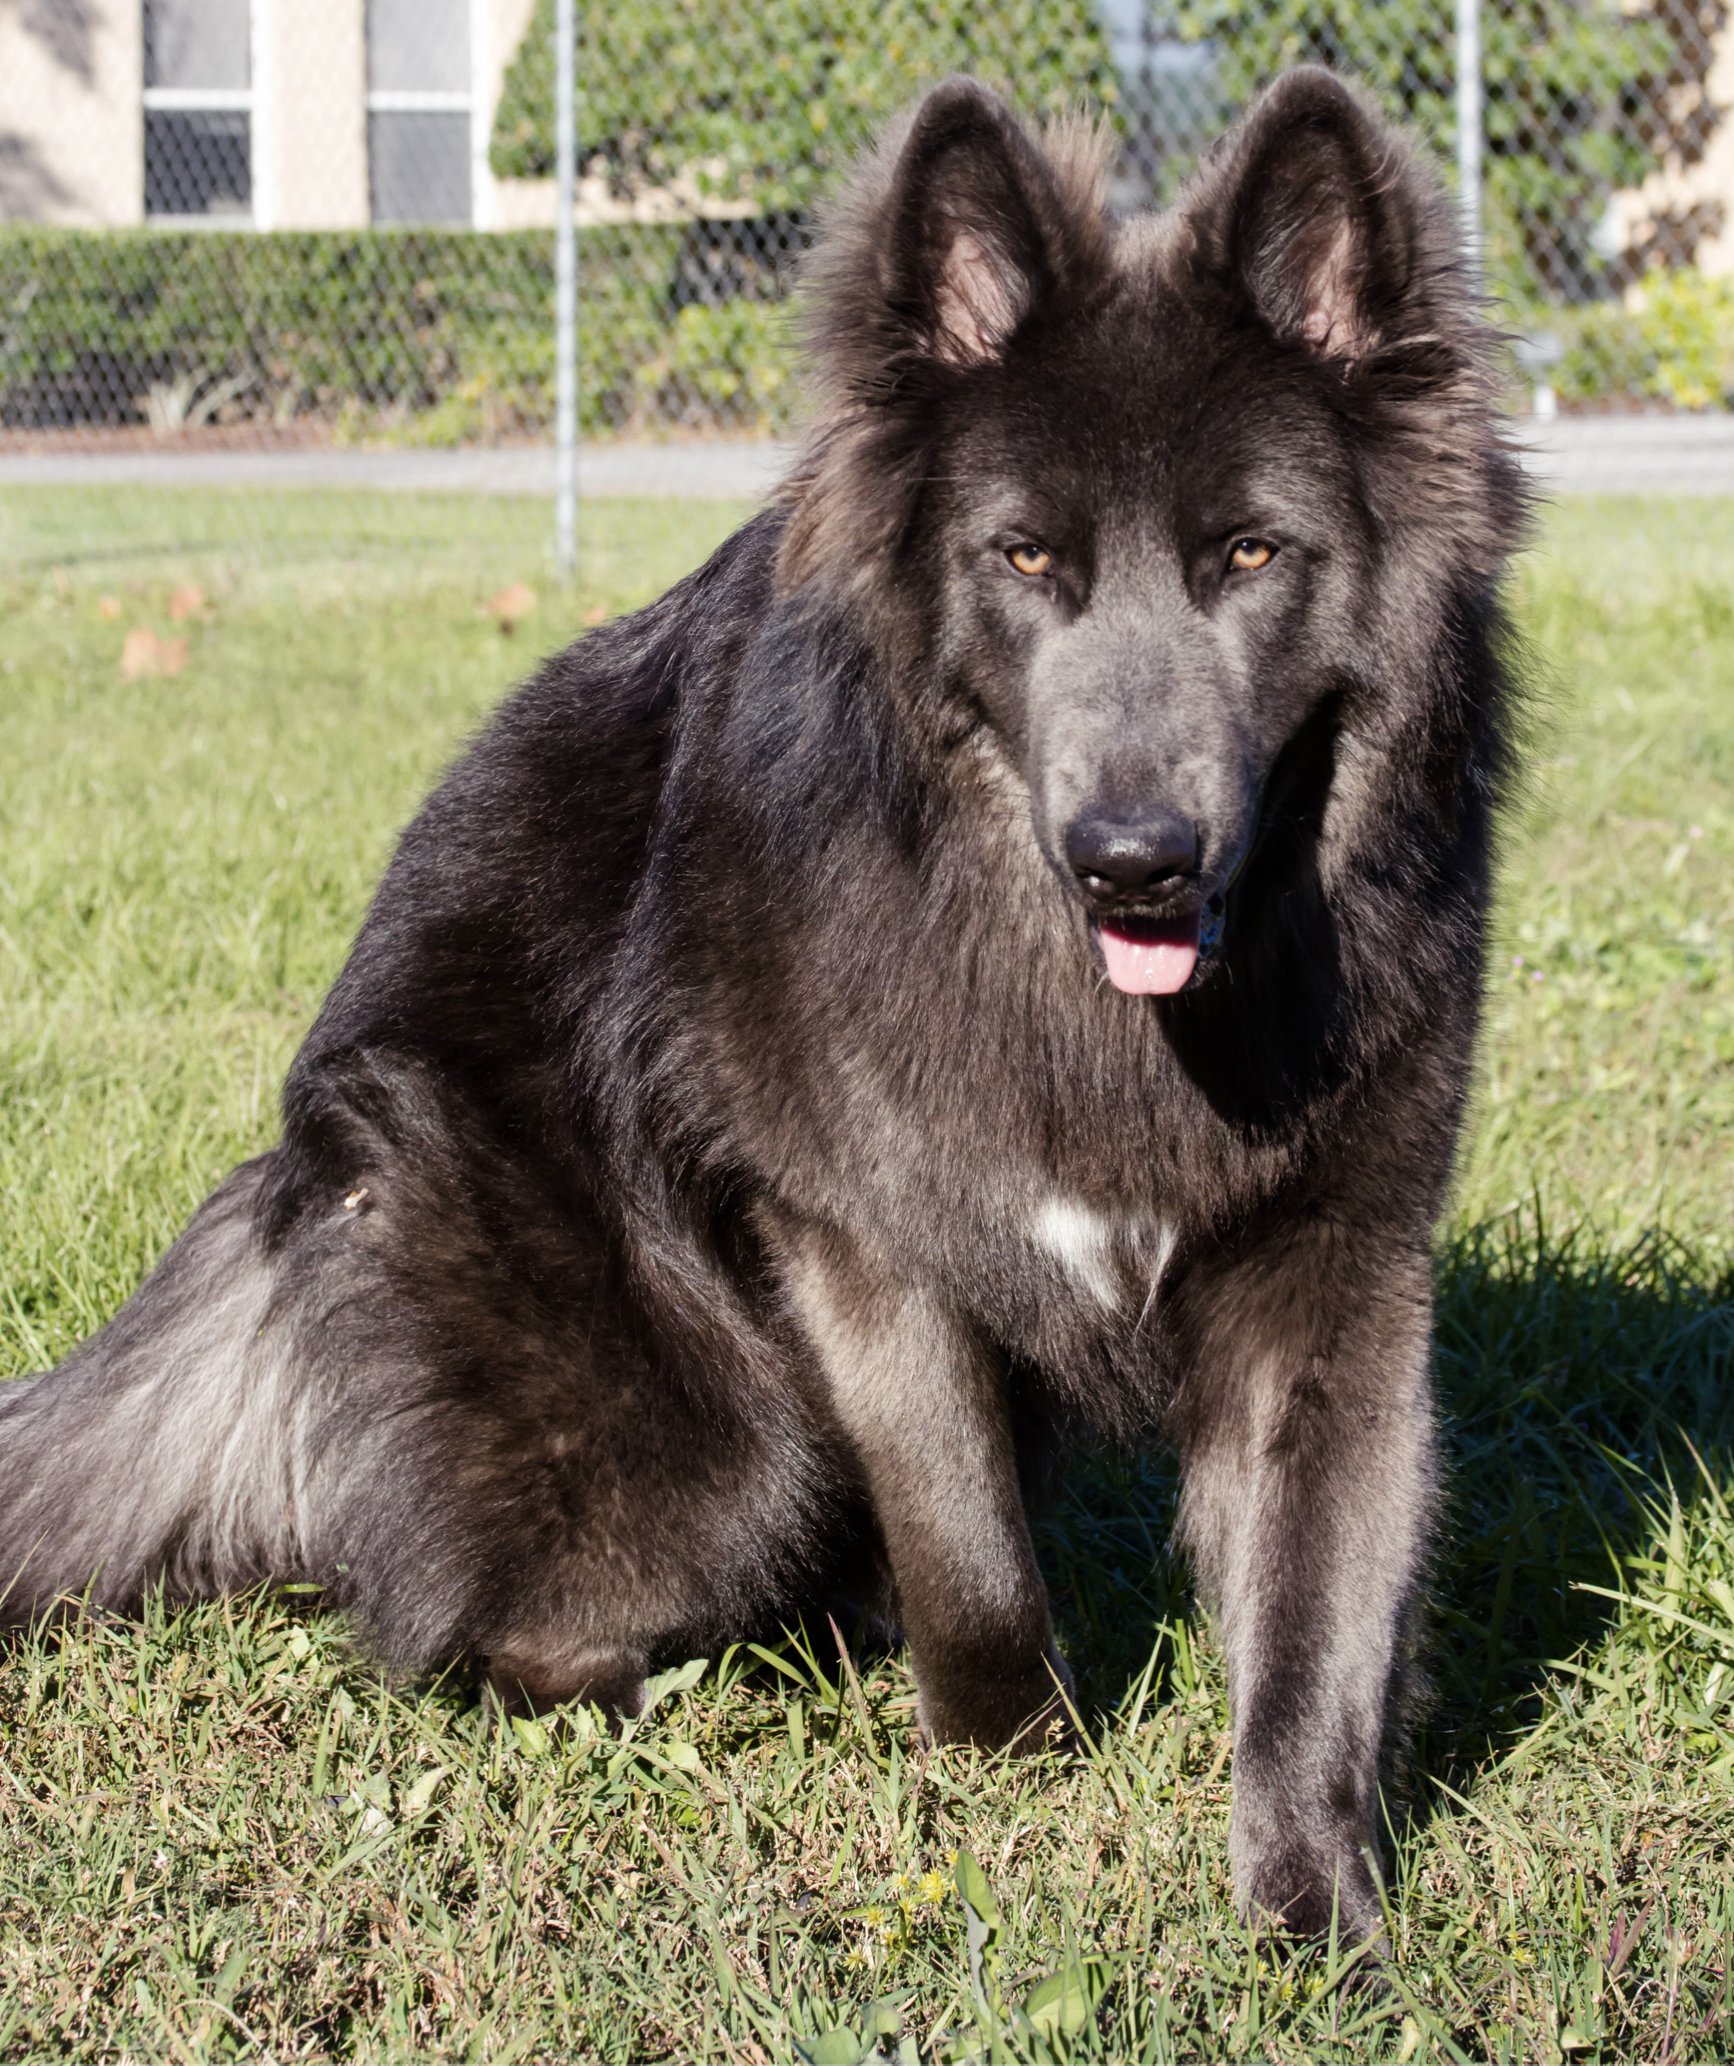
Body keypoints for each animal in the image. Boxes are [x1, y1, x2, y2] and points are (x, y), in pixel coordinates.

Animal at [0, 64, 1529, 1933]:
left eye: (1250, 553)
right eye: (1024, 559)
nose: (1132, 862)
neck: (1084, 991)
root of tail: (291, 1190)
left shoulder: (1332, 1274)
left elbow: (1315, 1614)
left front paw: (1315, 1911)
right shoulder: (855, 1235)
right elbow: (963, 1541)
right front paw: (1008, 1754)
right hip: (715, 1437)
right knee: (483, 1625)